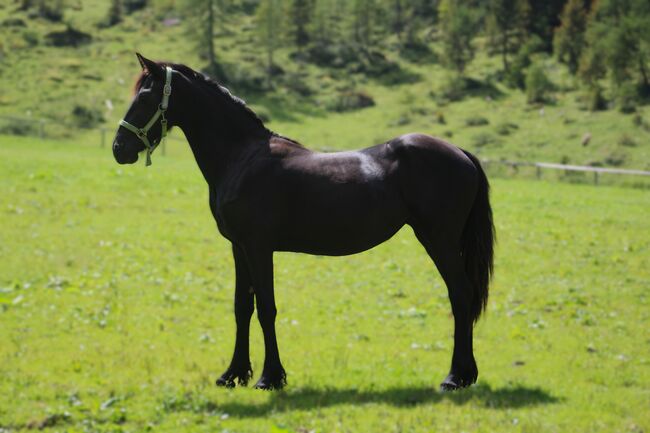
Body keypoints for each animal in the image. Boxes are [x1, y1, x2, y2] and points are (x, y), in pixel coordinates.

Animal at [112, 54, 496, 392]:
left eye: (144, 96)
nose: (119, 148)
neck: (243, 157)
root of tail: (461, 153)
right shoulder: (238, 247)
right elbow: (242, 307)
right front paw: (233, 374)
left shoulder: (259, 247)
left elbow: (266, 308)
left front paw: (270, 377)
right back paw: (465, 375)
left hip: (439, 240)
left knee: (460, 294)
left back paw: (455, 377)